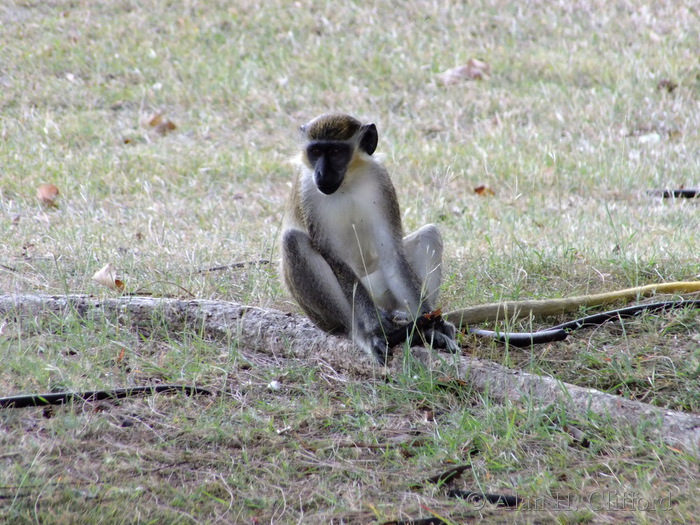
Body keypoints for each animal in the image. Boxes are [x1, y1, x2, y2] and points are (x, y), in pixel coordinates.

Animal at [281, 113, 458, 364]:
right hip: (326, 317)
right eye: (315, 151)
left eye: (335, 152)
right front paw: (375, 332)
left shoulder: (380, 181)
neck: (347, 182)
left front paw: (431, 327)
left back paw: (417, 328)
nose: (321, 174)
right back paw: (362, 333)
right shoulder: (308, 190)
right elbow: (335, 260)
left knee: (429, 234)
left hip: (383, 292)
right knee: (293, 241)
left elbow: (392, 254)